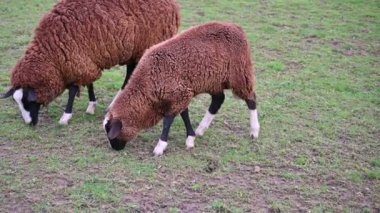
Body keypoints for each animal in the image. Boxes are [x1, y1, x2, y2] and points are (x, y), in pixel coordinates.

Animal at [1, 0, 180, 125]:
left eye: (28, 101)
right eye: (17, 102)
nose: (29, 123)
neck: (52, 52)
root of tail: (173, 4)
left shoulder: (76, 59)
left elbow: (73, 90)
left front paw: (66, 116)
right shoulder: (84, 59)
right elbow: (89, 83)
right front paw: (91, 105)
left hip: (149, 43)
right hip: (135, 49)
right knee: (131, 70)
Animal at [102, 21, 260, 156]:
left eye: (111, 132)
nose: (115, 148)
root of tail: (236, 28)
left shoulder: (179, 94)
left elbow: (168, 120)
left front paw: (160, 146)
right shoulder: (181, 94)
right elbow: (184, 114)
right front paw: (191, 138)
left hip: (240, 74)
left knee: (251, 99)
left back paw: (254, 130)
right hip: (213, 81)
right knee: (218, 100)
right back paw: (201, 129)